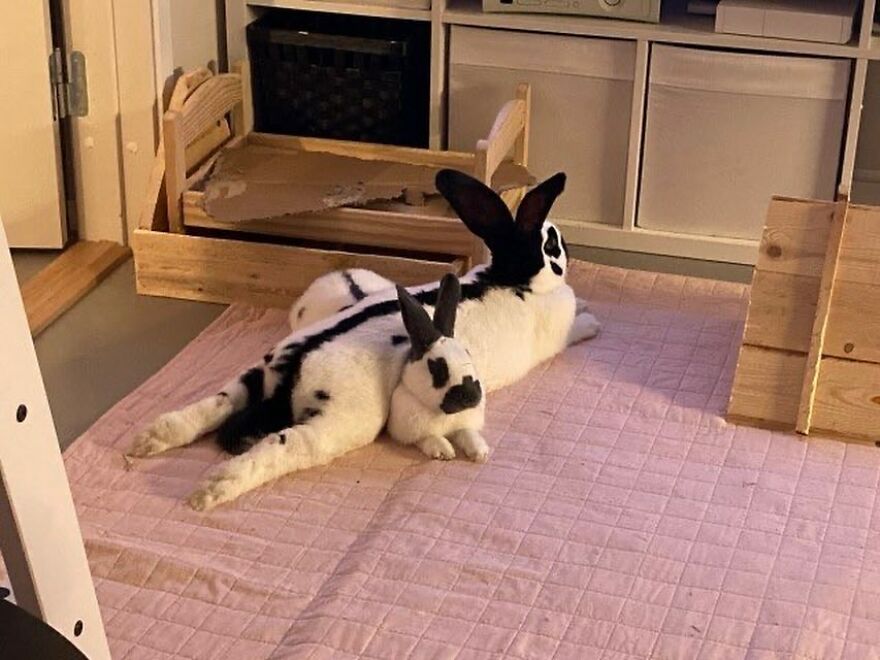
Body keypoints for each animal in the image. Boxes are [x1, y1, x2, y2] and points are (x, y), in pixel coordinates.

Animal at [390, 274, 492, 464]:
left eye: (468, 353)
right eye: (438, 369)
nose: (471, 396)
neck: (443, 415)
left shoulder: (463, 424)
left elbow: (467, 433)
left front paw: (480, 452)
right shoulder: (412, 432)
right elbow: (428, 438)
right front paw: (444, 452)